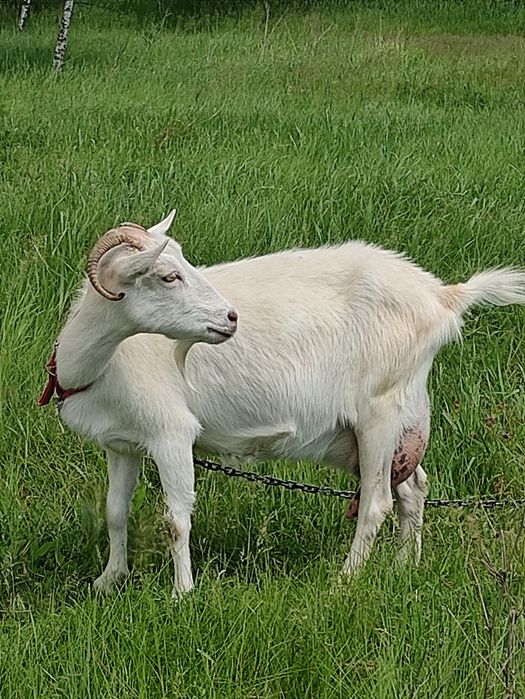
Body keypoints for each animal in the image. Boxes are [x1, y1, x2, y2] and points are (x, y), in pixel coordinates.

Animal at [39, 211, 525, 596]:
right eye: (168, 275)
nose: (231, 318)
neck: (97, 363)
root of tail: (442, 297)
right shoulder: (121, 443)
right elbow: (115, 512)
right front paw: (108, 580)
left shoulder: (171, 433)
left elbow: (176, 520)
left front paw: (182, 594)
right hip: (396, 419)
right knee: (413, 487)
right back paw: (407, 566)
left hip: (379, 410)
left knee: (376, 502)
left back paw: (345, 579)